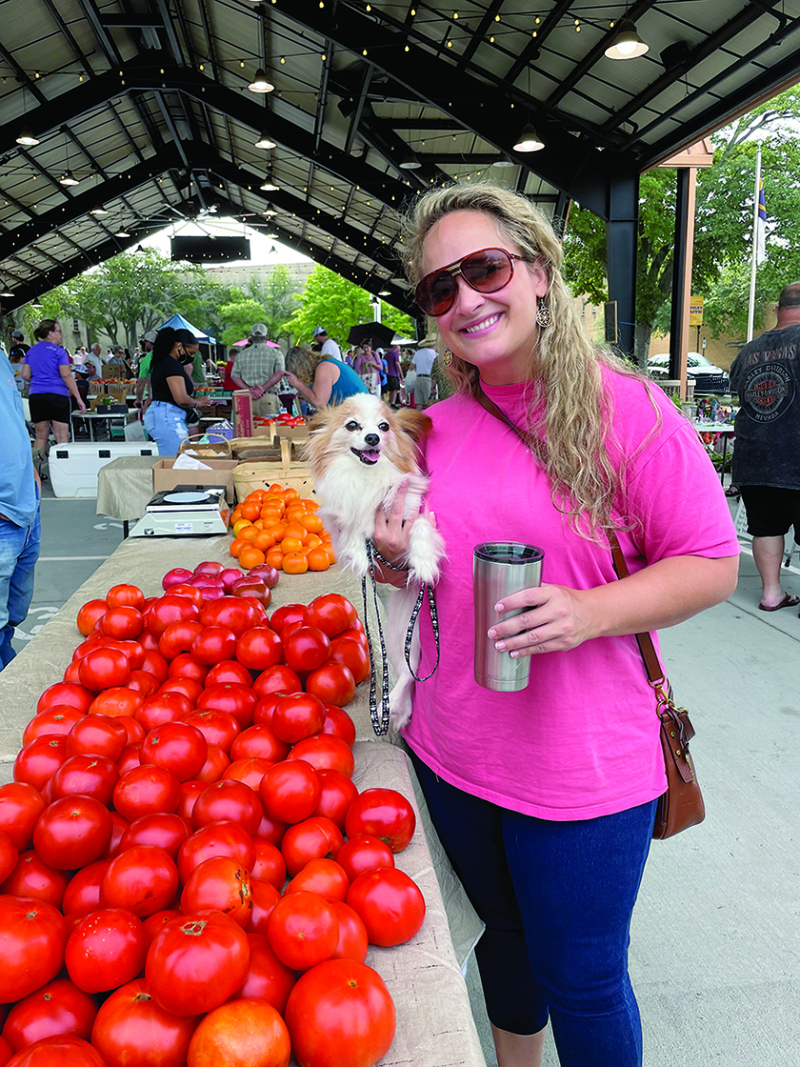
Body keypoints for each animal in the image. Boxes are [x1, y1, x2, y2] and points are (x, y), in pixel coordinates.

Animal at [305, 394, 448, 734]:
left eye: (384, 427)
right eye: (352, 426)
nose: (372, 438)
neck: (366, 479)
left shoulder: (413, 512)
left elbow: (421, 528)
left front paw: (424, 562)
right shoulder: (337, 521)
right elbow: (353, 531)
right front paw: (359, 554)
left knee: (411, 670)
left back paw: (393, 704)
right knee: (409, 669)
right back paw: (394, 706)